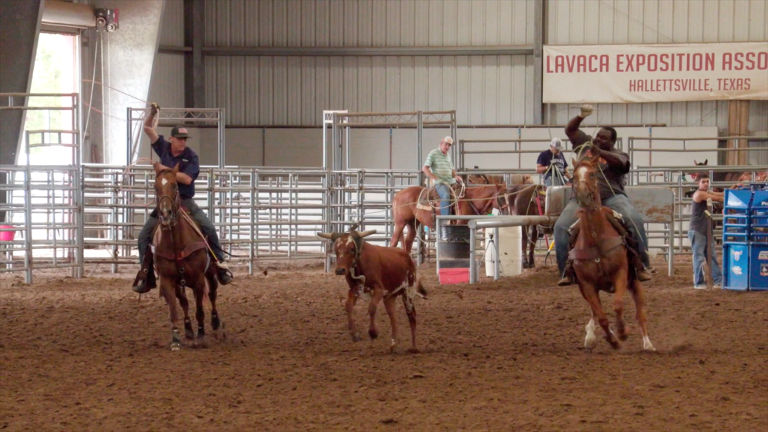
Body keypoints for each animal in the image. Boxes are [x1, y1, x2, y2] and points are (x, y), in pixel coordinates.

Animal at [151, 164, 220, 350]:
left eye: (175, 185)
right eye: (155, 187)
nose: (165, 213)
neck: (176, 243)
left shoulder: (198, 279)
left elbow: (200, 310)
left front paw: (201, 335)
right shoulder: (167, 280)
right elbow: (175, 309)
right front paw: (176, 338)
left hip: (210, 273)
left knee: (212, 294)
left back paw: (215, 323)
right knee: (184, 302)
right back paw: (188, 332)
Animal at [568, 148, 656, 352]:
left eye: (593, 174)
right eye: (573, 177)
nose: (582, 195)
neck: (595, 239)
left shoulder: (621, 274)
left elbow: (617, 305)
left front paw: (622, 332)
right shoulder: (587, 285)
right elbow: (600, 316)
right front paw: (613, 340)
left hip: (635, 282)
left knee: (640, 314)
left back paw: (648, 344)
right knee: (594, 312)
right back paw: (590, 337)